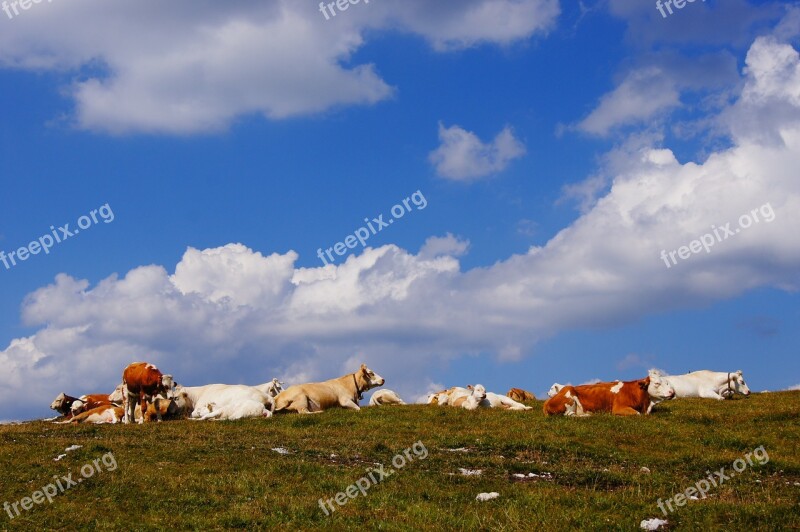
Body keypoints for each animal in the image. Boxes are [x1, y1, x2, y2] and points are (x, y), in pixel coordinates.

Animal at [544, 376, 676, 418]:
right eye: (657, 383)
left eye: (666, 382)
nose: (672, 392)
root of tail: (546, 403)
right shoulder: (618, 407)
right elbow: (637, 414)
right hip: (569, 395)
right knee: (569, 415)